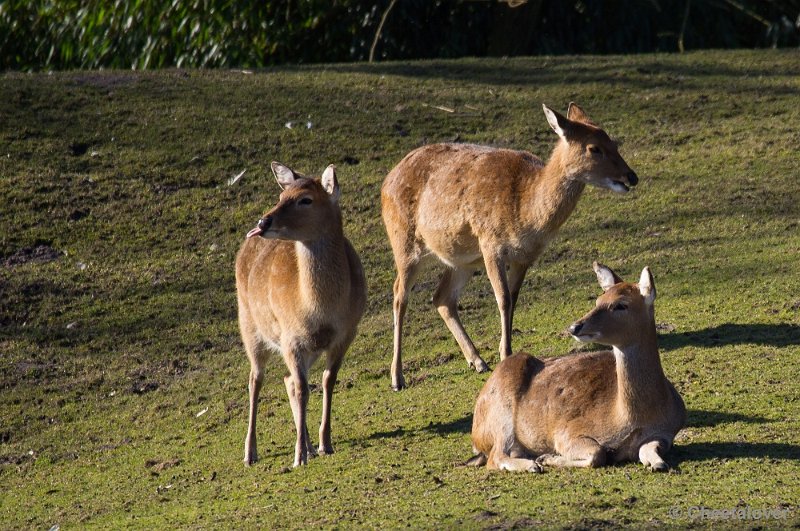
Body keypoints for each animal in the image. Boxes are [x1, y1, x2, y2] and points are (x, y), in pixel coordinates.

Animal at [234, 161, 366, 466]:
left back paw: (307, 444)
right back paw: (250, 452)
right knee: (255, 379)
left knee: (288, 380)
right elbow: (304, 389)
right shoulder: (290, 338)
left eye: (305, 199)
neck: (320, 309)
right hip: (250, 327)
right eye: (282, 196)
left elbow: (327, 381)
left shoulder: (346, 333)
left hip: (305, 348)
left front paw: (324, 443)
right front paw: (298, 457)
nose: (263, 222)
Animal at [380, 102, 636, 390]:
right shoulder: (490, 243)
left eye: (613, 141)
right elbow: (502, 298)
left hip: (462, 259)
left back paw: (477, 361)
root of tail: (386, 181)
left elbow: (513, 298)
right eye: (594, 148)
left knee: (442, 297)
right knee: (399, 295)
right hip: (404, 243)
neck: (526, 210)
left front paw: (506, 352)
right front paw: (506, 354)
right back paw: (397, 377)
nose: (631, 176)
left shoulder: (525, 256)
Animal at [468, 264, 688, 472]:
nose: (575, 327)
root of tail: (476, 430)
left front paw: (658, 463)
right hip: (500, 416)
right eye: (598, 300)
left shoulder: (666, 433)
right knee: (495, 457)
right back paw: (532, 465)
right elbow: (598, 453)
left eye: (621, 305)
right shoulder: (566, 431)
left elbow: (648, 450)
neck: (629, 417)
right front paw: (547, 458)